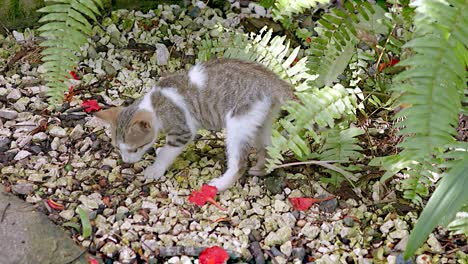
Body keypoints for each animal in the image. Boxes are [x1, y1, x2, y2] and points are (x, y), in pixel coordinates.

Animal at [95, 58, 292, 190]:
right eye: (118, 148)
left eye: (134, 149)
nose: (126, 162)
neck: (156, 104)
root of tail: (271, 79)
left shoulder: (182, 131)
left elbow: (166, 153)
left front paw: (156, 169)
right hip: (260, 122)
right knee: (268, 149)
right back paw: (261, 169)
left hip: (238, 123)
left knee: (239, 164)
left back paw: (219, 185)